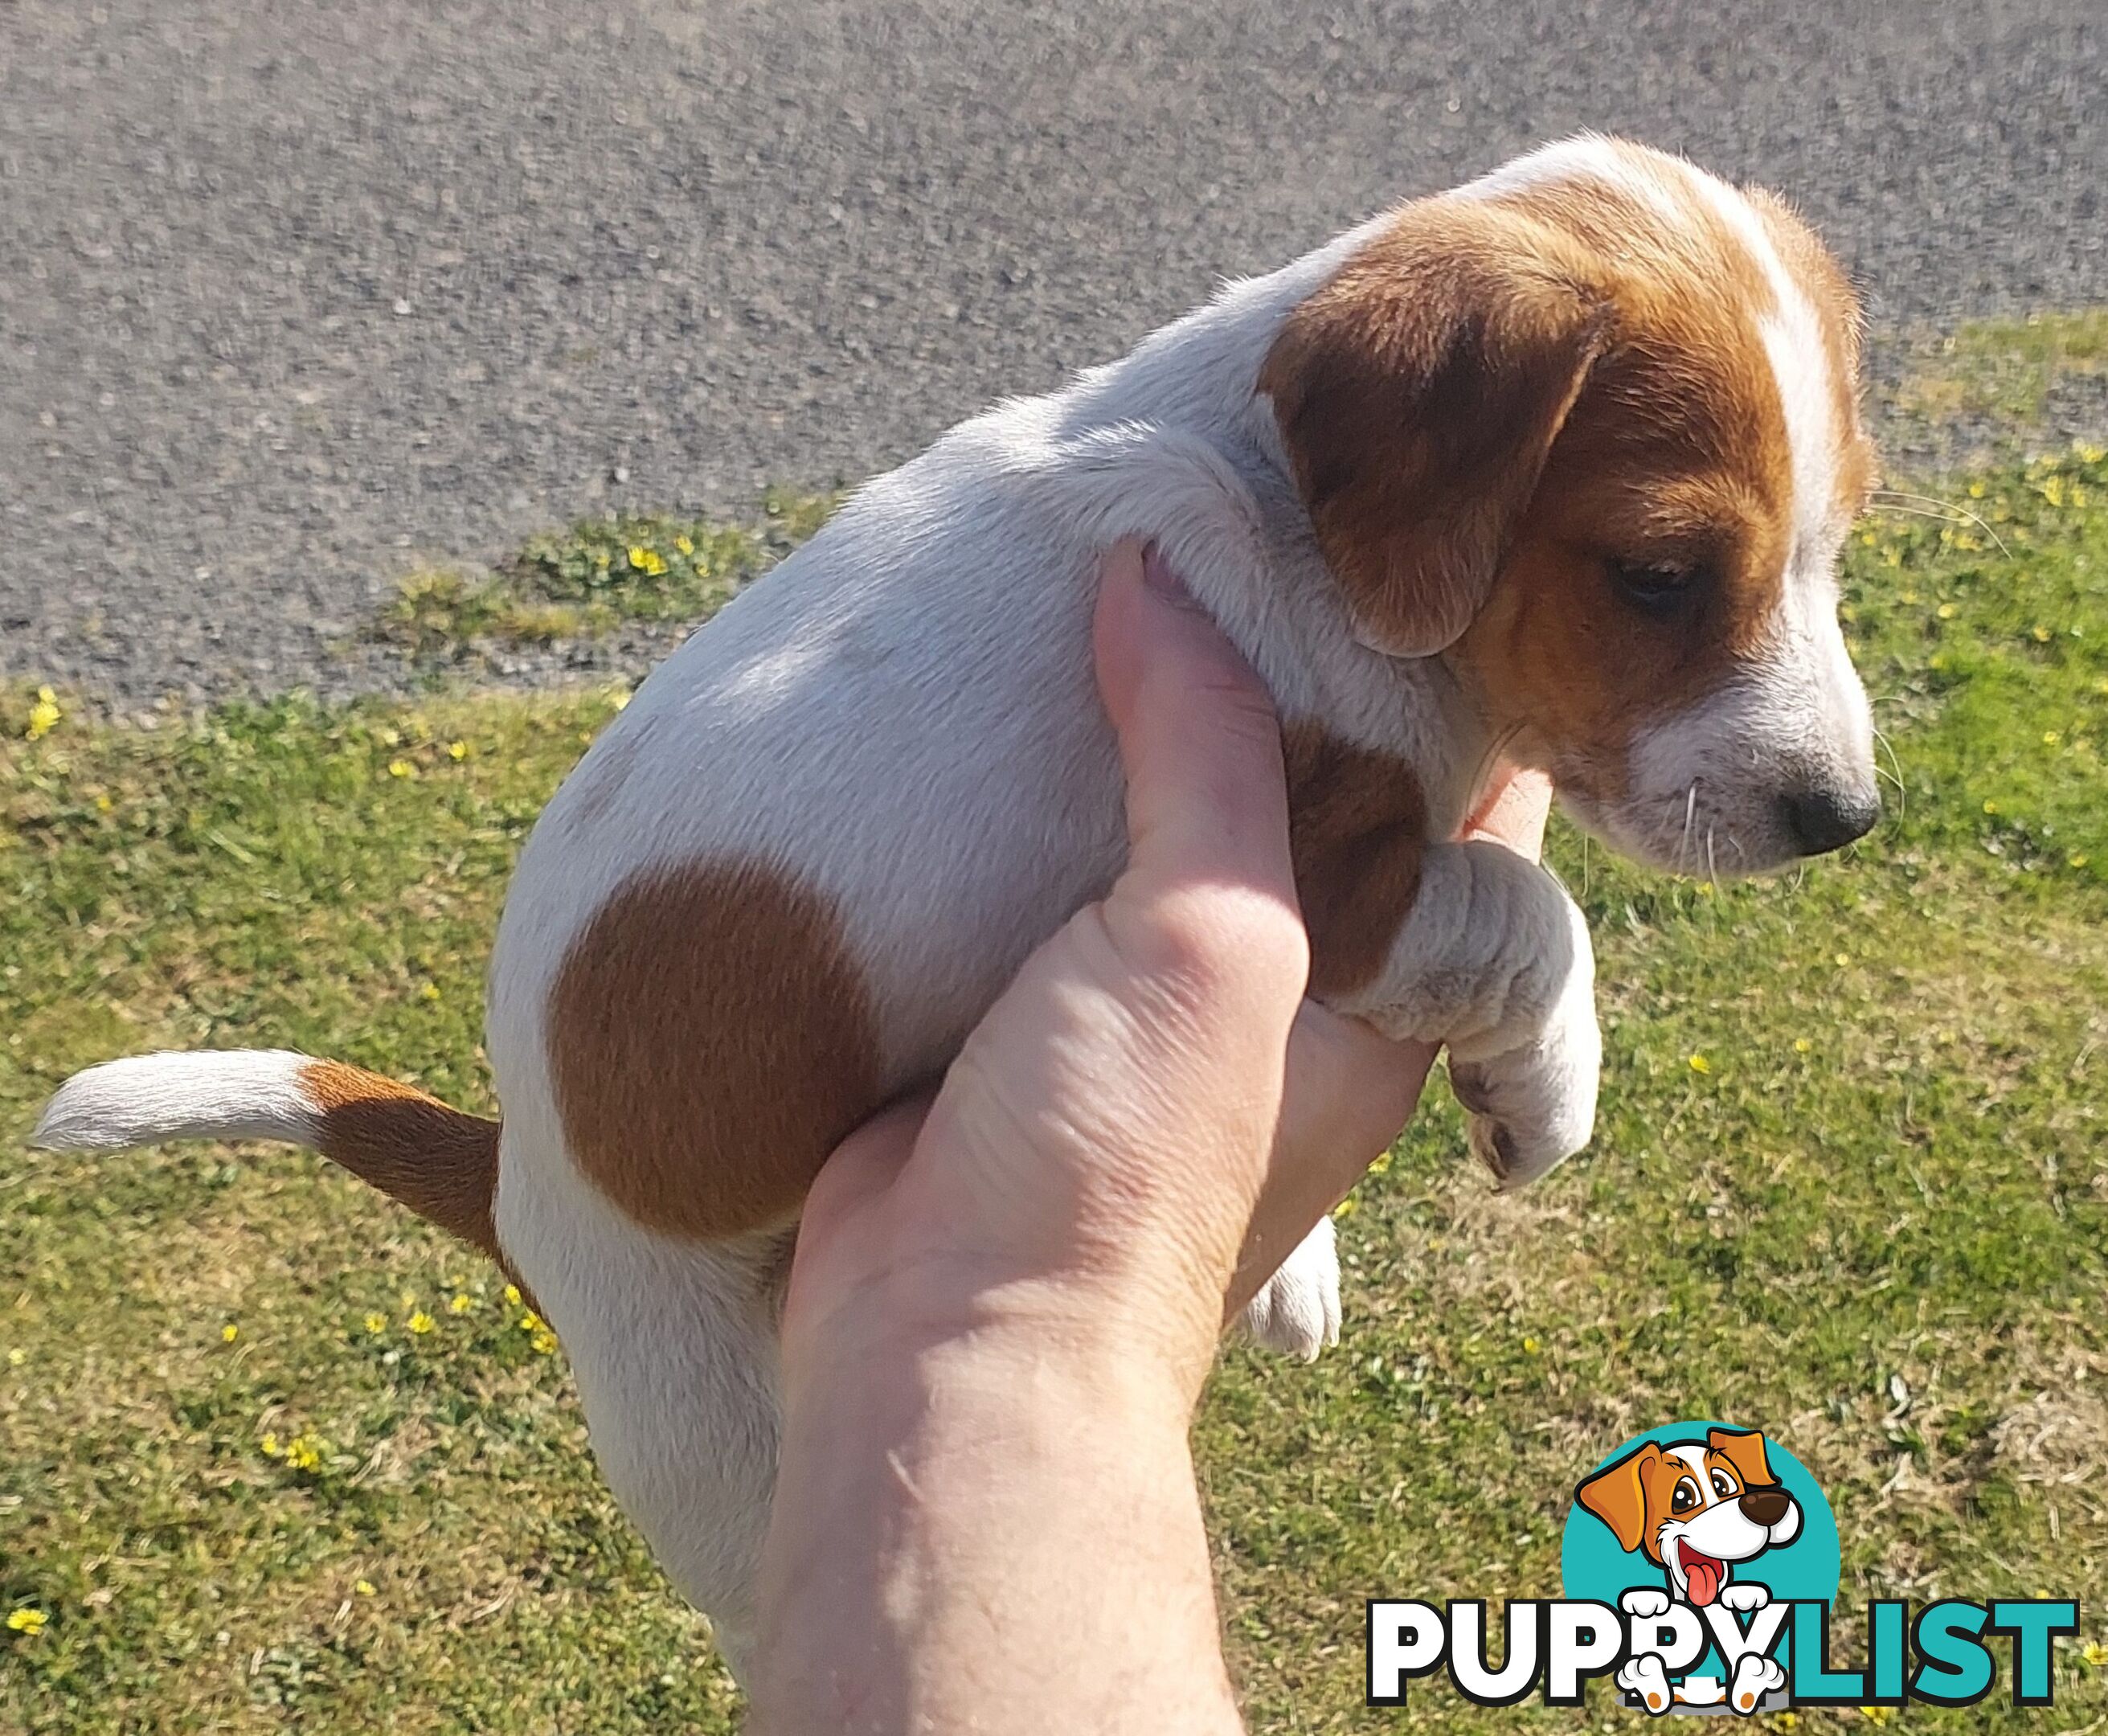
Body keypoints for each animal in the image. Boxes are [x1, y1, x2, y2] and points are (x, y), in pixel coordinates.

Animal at [37, 139, 1880, 1687]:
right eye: (1657, 576)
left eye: (1836, 543)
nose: (1846, 819)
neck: (1272, 500)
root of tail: (515, 1184)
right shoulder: (1324, 877)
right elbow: (1533, 910)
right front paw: (1545, 1093)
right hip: (725, 1461)